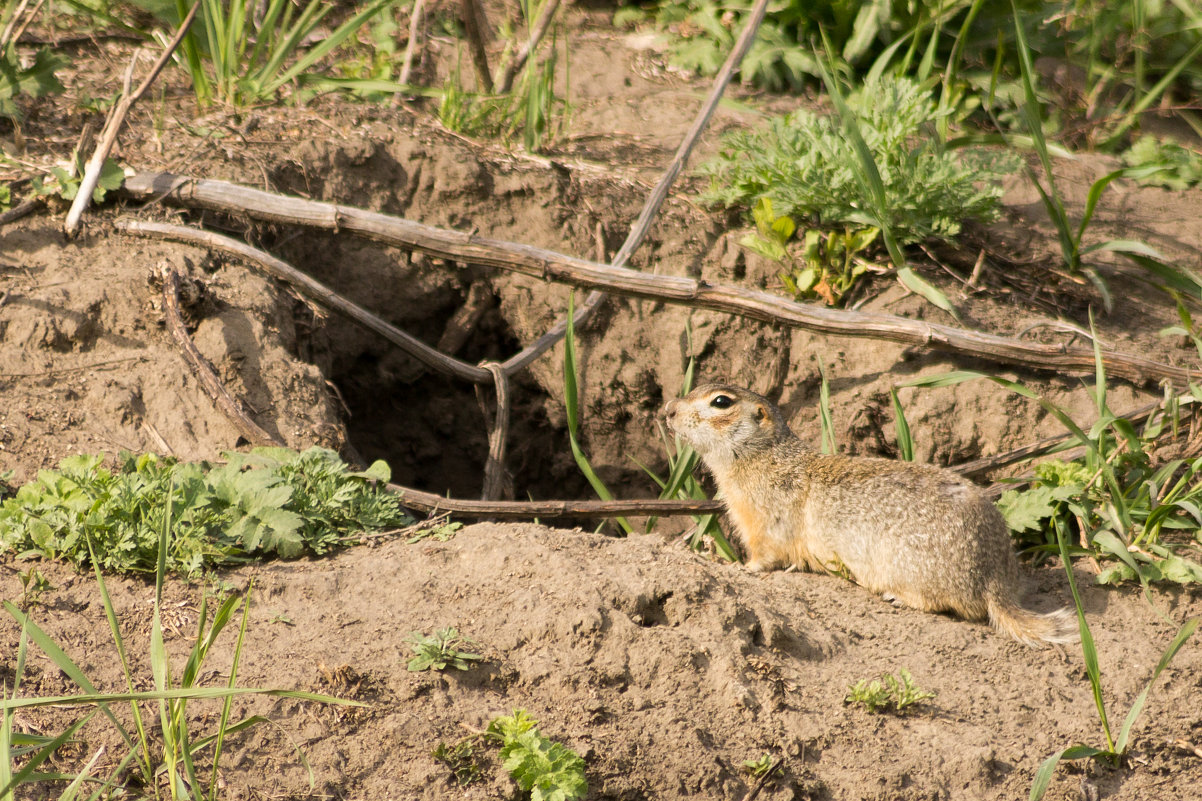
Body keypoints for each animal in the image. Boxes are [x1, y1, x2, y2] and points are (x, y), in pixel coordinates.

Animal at [668, 377, 1081, 644]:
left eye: (721, 402)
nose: (668, 409)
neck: (762, 456)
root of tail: (995, 579)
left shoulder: (764, 519)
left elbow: (765, 554)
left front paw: (740, 567)